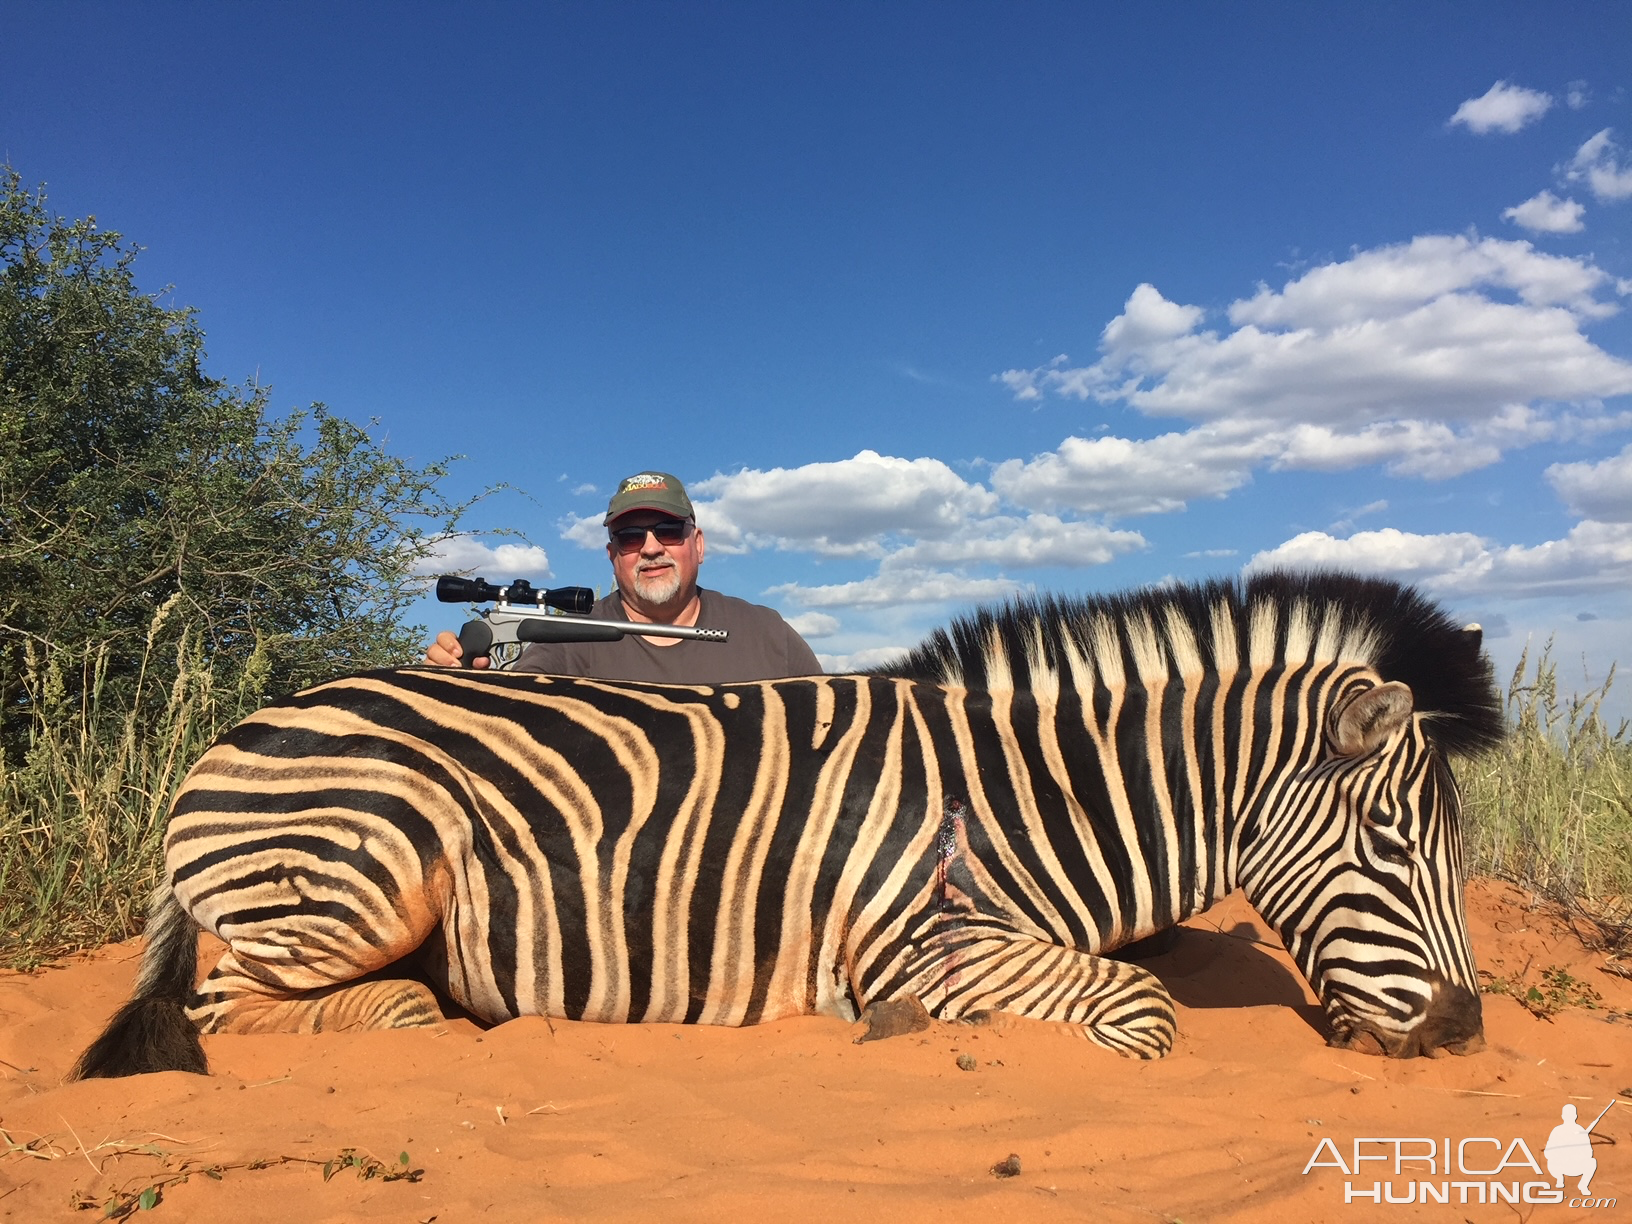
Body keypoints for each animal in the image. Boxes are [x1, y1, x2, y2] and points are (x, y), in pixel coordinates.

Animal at [73, 571, 1501, 1077]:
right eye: (1394, 849)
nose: (1463, 1032)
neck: (1023, 800)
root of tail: (232, 735)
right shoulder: (922, 943)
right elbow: (1140, 1014)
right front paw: (907, 1034)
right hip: (366, 874)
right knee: (234, 1008)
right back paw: (426, 1020)